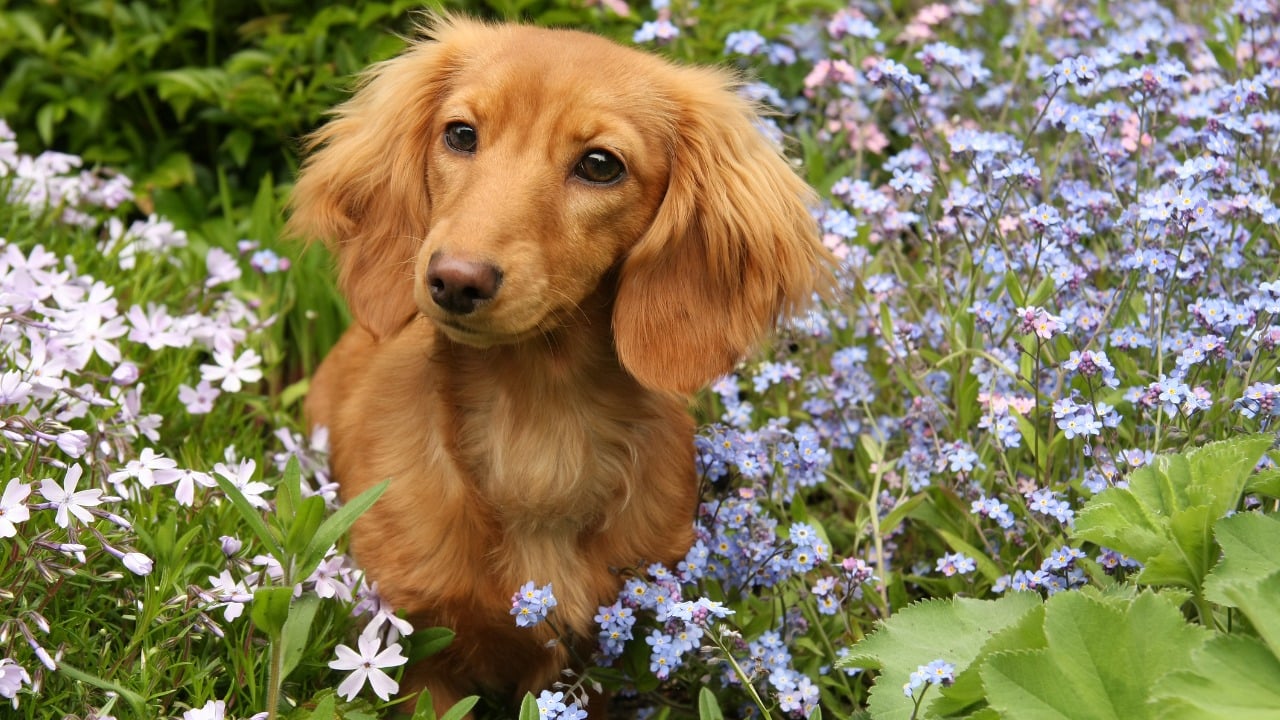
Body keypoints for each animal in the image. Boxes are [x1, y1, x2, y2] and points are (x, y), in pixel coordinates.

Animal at [288, 16, 829, 712]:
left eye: (600, 164)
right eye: (460, 134)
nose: (454, 280)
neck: (537, 427)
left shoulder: (600, 657)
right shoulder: (415, 652)